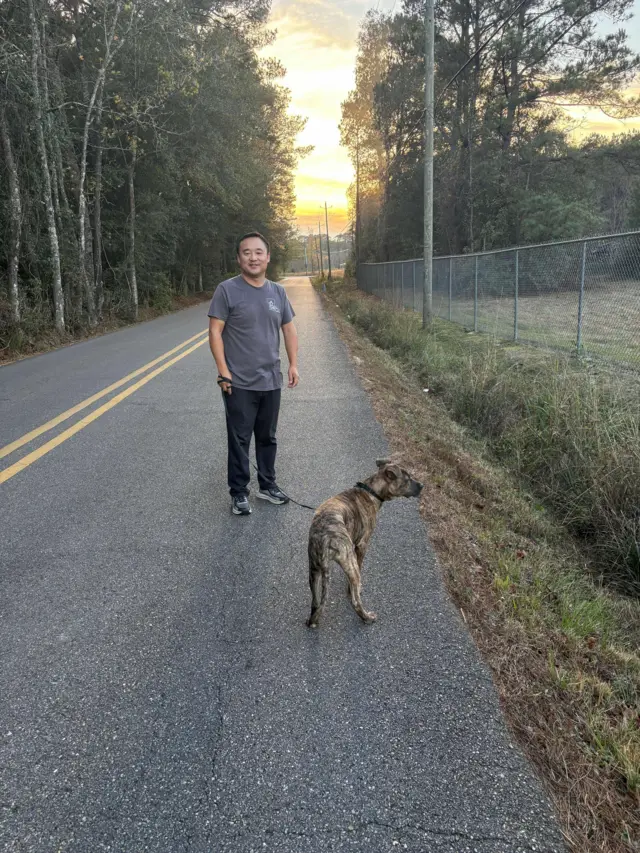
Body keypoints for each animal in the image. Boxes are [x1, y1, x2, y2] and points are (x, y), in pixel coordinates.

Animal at [306, 459, 423, 628]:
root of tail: (325, 537)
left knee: (315, 600)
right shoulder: (361, 546)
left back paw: (312, 619)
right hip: (349, 562)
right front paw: (353, 589)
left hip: (314, 569)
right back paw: (367, 617)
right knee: (355, 601)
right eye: (407, 479)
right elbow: (360, 569)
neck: (371, 490)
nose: (422, 486)